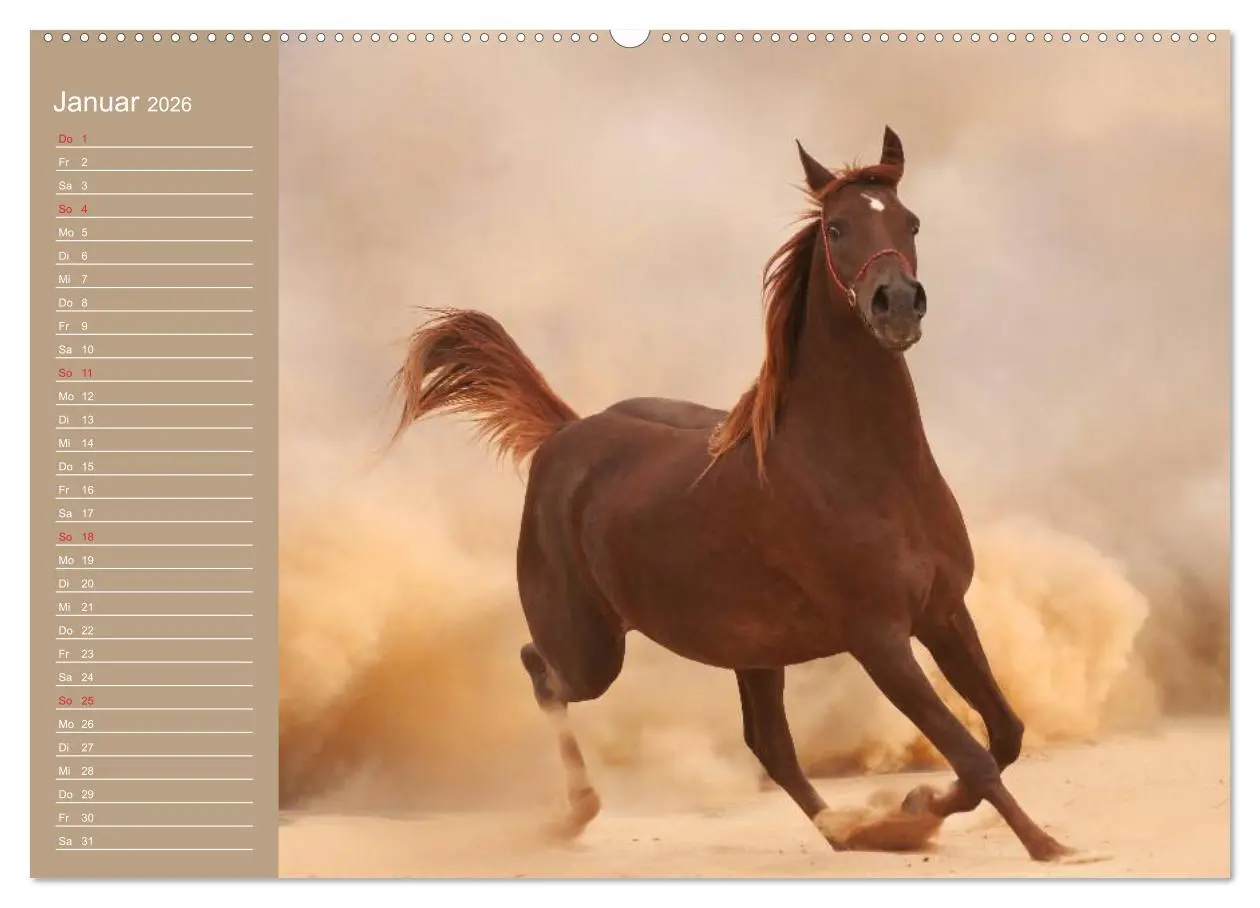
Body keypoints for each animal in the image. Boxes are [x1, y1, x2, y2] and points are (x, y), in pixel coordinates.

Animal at [387, 127, 1077, 862]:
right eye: (837, 228)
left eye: (909, 221)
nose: (896, 304)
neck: (868, 471)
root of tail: (566, 433)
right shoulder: (880, 639)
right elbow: (969, 750)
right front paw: (1044, 844)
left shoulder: (944, 613)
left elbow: (1005, 734)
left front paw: (912, 809)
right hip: (593, 650)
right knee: (541, 671)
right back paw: (575, 814)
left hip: (752, 652)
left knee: (769, 745)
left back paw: (846, 828)